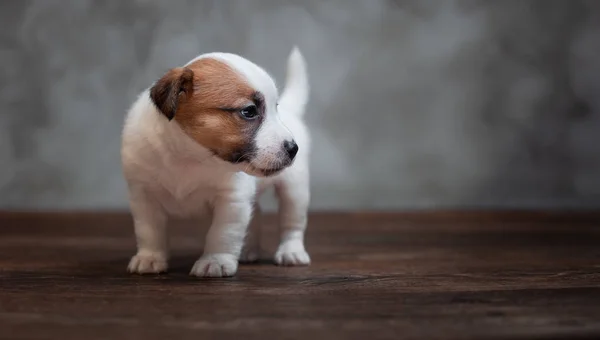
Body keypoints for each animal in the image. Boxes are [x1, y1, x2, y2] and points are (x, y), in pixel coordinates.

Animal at [120, 47, 312, 276]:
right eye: (249, 111)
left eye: (275, 108)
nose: (293, 148)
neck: (190, 157)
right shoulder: (144, 196)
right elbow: (149, 231)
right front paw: (149, 257)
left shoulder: (231, 199)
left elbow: (222, 233)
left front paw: (215, 261)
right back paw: (248, 249)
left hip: (294, 190)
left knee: (292, 224)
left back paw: (292, 251)